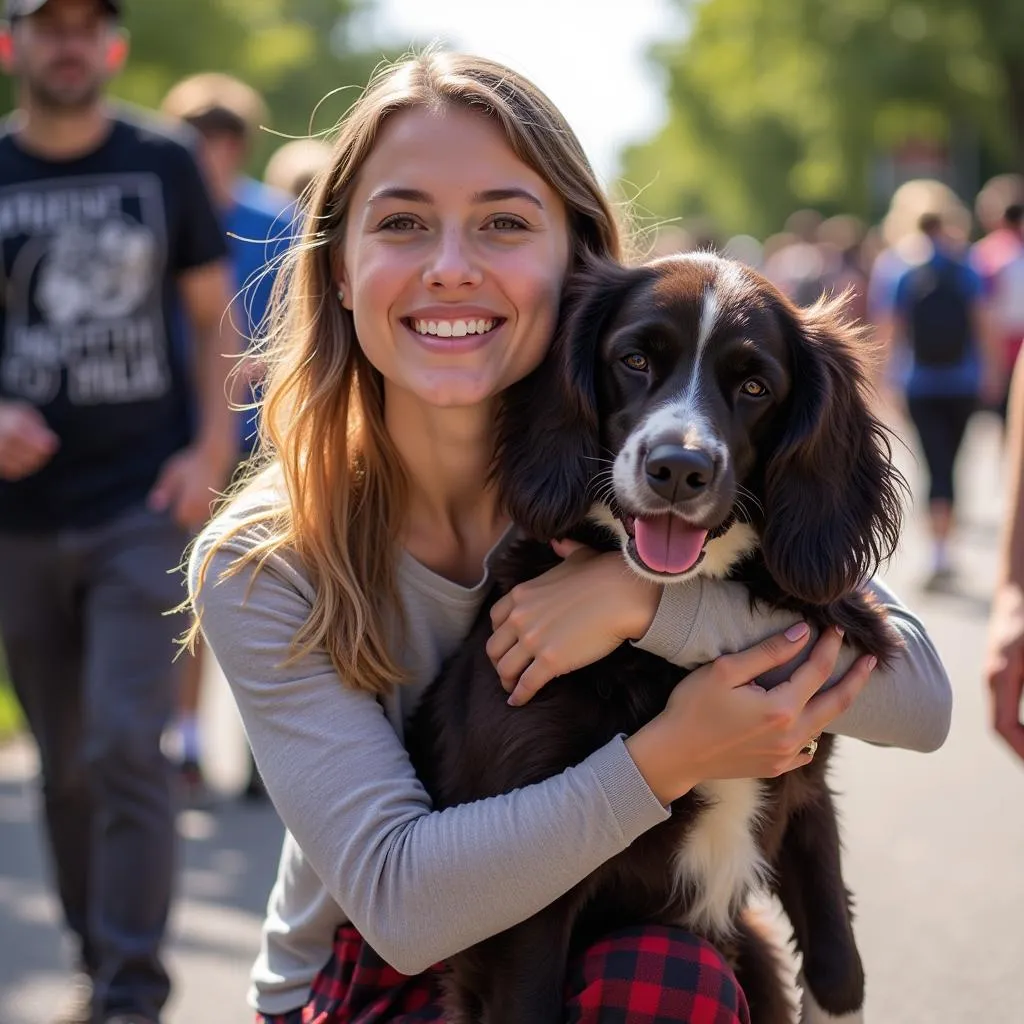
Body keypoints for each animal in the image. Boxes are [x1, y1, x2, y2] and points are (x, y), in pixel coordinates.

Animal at [405, 251, 905, 1019]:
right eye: (635, 360)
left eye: (755, 386)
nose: (678, 468)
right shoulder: (519, 885)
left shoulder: (805, 789)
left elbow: (837, 959)